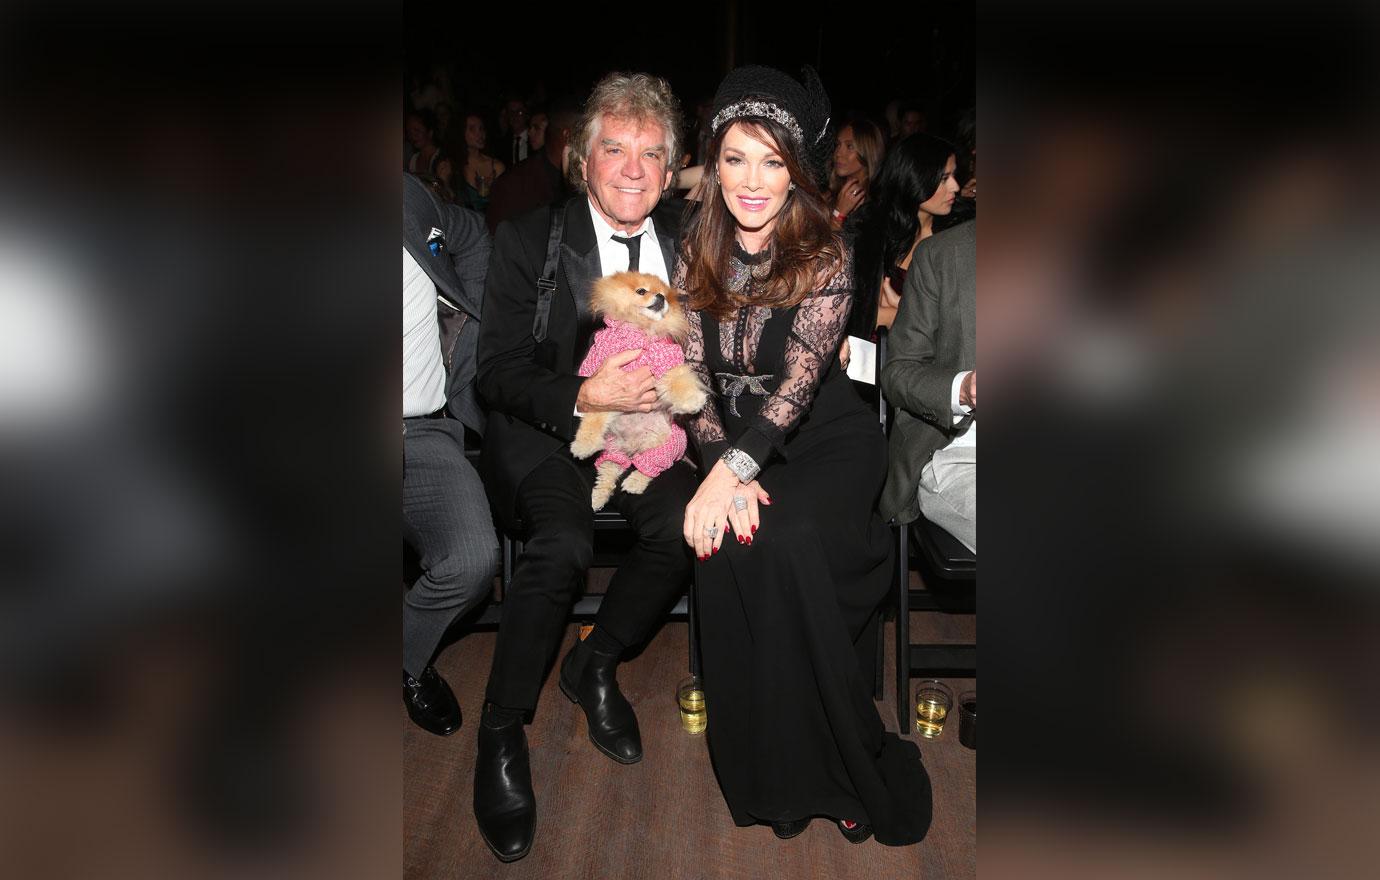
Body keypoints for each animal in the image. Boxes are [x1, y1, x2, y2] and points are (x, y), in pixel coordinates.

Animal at [568, 273, 706, 513]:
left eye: (665, 295)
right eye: (642, 291)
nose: (660, 297)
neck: (638, 330)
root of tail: (633, 448)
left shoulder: (665, 361)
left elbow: (678, 381)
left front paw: (692, 400)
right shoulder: (604, 382)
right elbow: (594, 418)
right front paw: (584, 444)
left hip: (668, 443)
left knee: (648, 467)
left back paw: (634, 482)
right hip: (612, 448)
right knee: (609, 470)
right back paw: (598, 497)